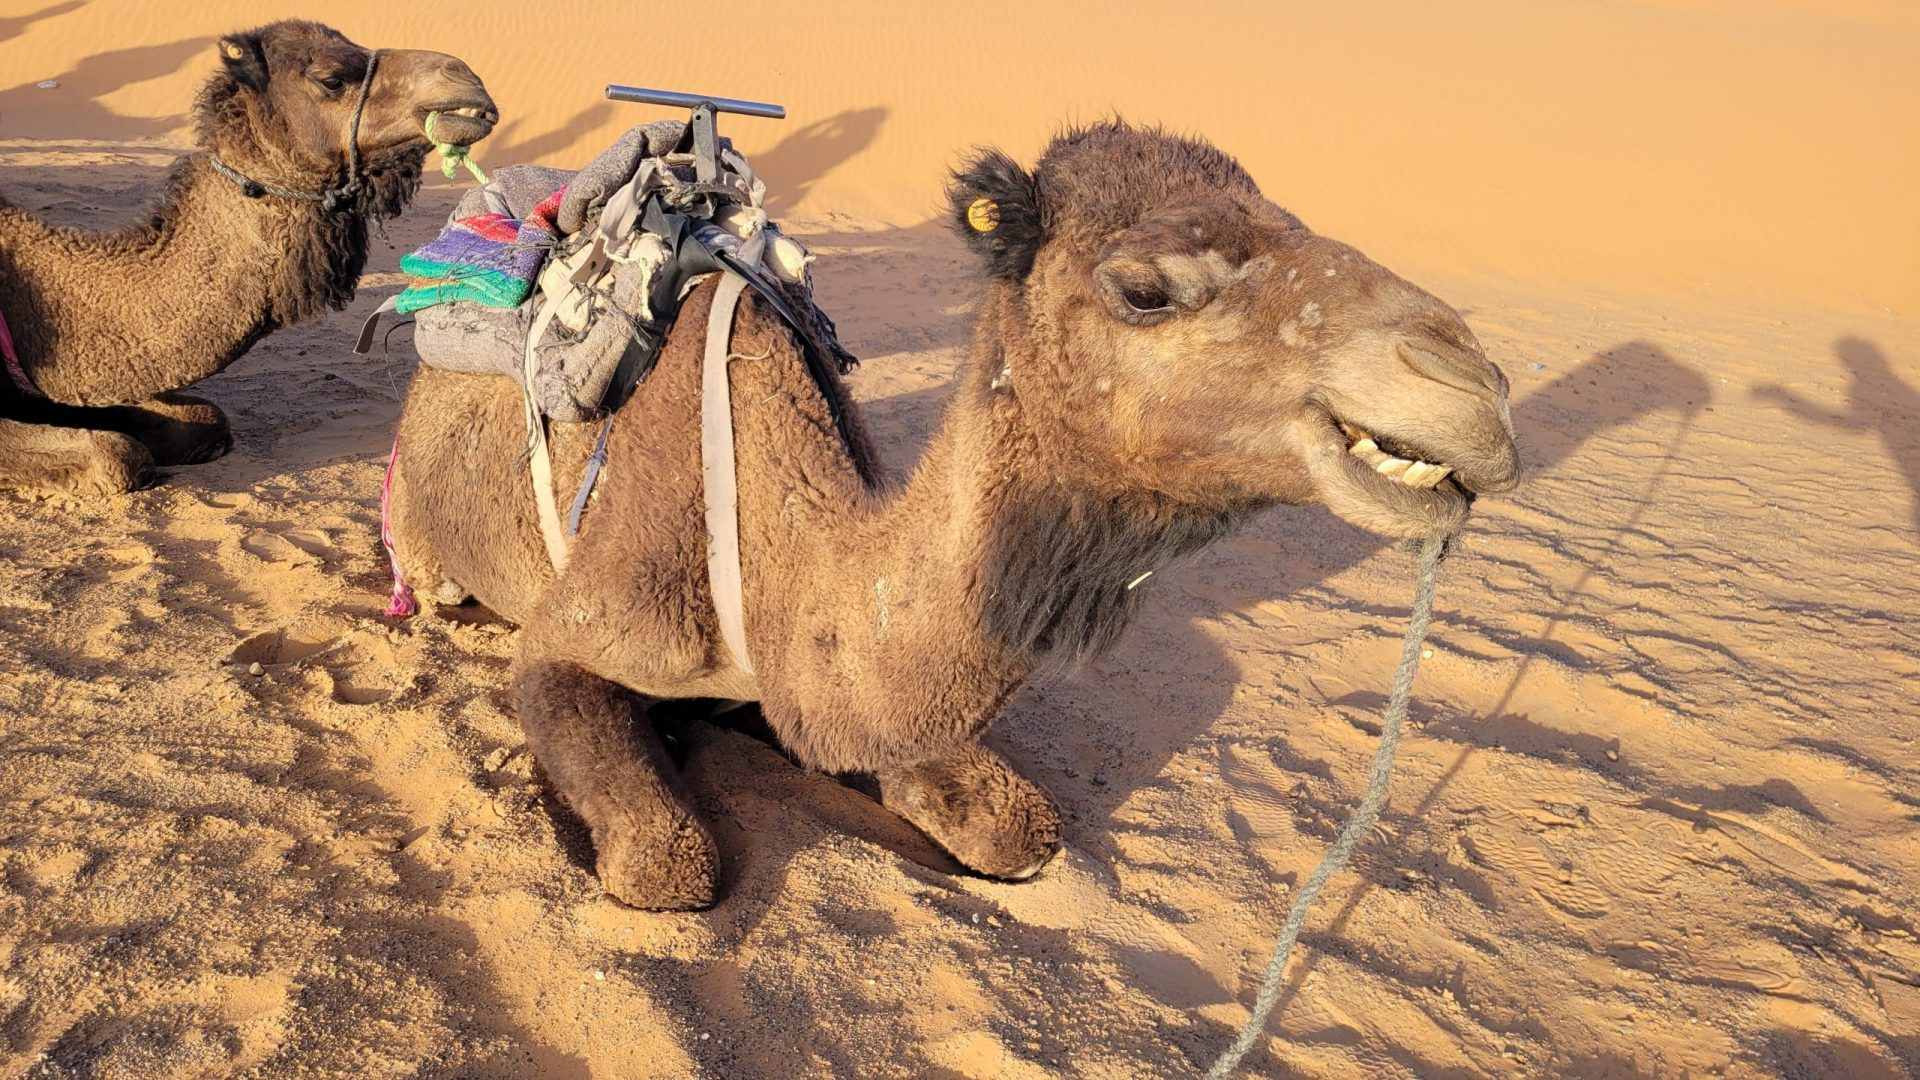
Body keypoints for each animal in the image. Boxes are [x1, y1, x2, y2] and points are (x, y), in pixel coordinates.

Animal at [386, 121, 1521, 910]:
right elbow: (666, 862)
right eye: (1145, 290)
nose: (1472, 386)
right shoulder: (574, 635)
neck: (776, 556)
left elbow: (1020, 828)